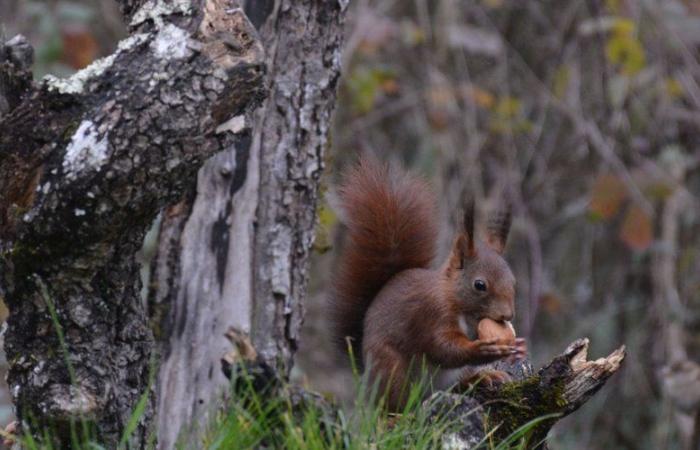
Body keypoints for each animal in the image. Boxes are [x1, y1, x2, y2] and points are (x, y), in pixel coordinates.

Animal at [332, 157, 524, 412]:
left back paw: (482, 378)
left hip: (448, 377)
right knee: (396, 403)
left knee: (456, 385)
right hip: (391, 369)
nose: (507, 315)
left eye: (513, 281)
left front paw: (517, 348)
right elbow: (443, 348)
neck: (456, 301)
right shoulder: (431, 314)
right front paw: (482, 349)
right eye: (480, 285)